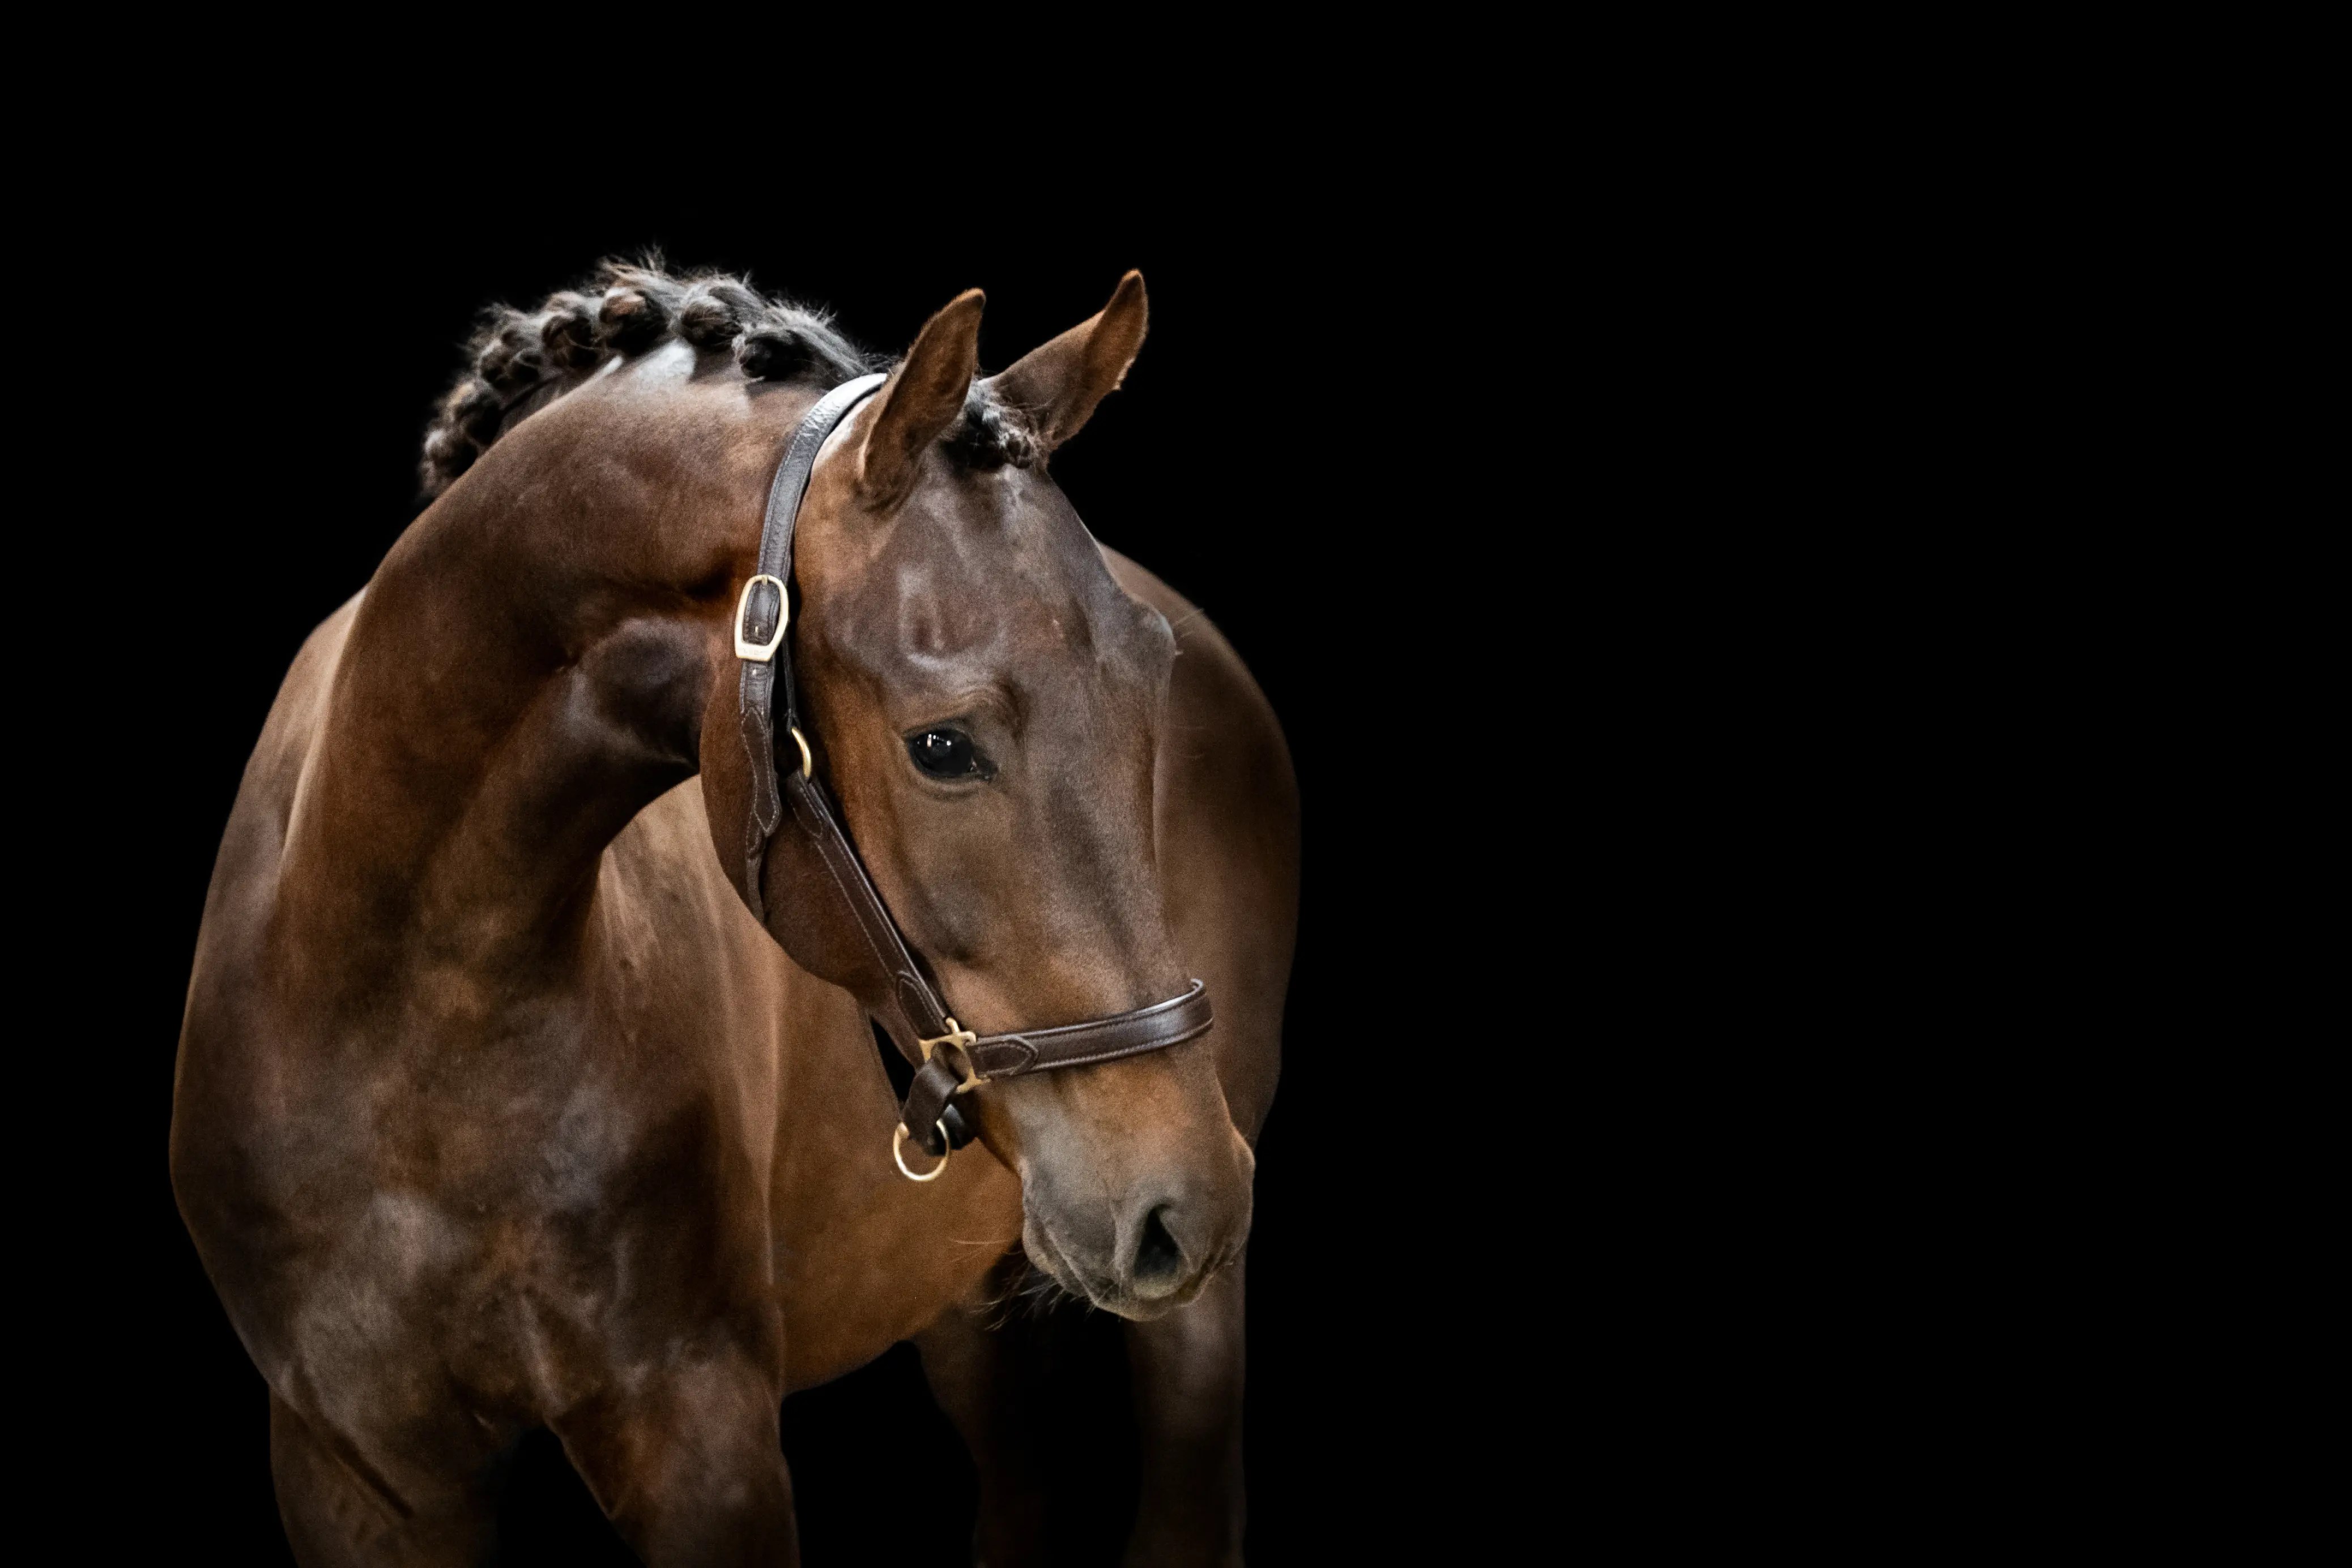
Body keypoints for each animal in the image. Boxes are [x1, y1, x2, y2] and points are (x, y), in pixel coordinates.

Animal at [169, 261, 1299, 1565]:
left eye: (1151, 677)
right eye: (942, 746)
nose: (1187, 1198)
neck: (416, 1015)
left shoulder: (701, 1435)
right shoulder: (356, 1474)